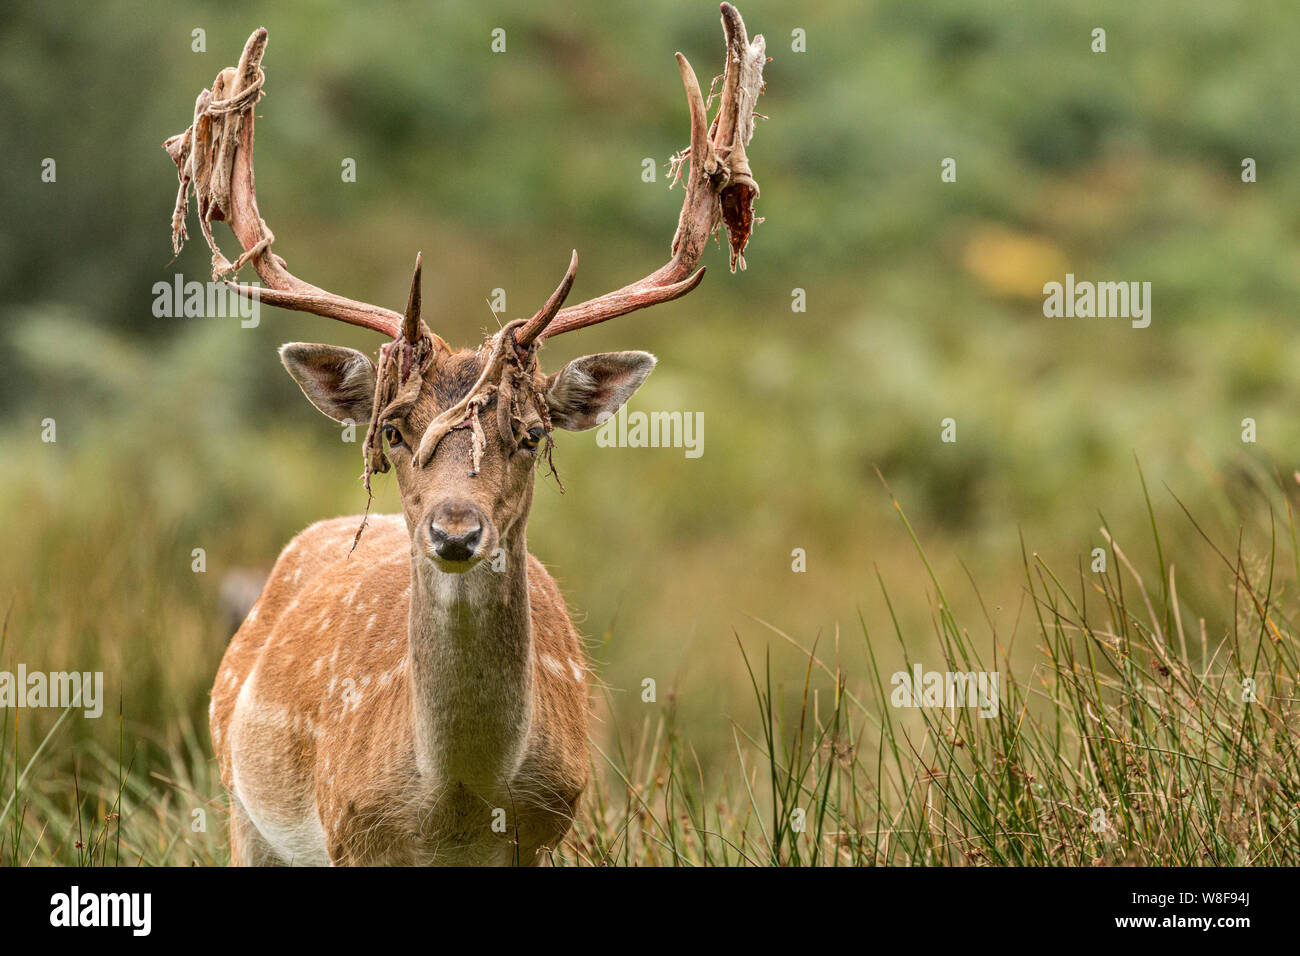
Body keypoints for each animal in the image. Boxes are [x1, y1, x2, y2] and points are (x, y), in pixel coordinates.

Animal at [162, 5, 766, 865]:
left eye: (531, 432)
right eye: (392, 427)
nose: (455, 530)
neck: (459, 805)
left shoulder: (550, 828)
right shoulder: (349, 831)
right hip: (242, 805)